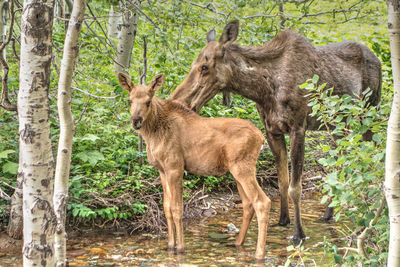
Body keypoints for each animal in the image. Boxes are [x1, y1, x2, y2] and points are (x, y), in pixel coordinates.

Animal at [117, 72, 270, 260]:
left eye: (148, 101)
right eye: (129, 100)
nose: (136, 121)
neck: (152, 134)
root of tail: (261, 137)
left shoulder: (175, 167)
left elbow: (176, 208)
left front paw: (180, 248)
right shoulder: (162, 170)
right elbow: (166, 208)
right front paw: (170, 246)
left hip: (243, 168)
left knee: (262, 202)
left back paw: (259, 254)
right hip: (237, 171)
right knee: (248, 204)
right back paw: (238, 243)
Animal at [171, 19, 382, 244]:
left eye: (204, 67)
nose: (178, 100)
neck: (261, 91)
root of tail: (378, 59)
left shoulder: (298, 128)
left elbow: (295, 188)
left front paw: (299, 234)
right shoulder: (273, 131)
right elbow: (282, 181)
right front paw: (283, 221)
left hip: (369, 113)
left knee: (374, 153)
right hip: (339, 123)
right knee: (343, 158)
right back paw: (328, 213)